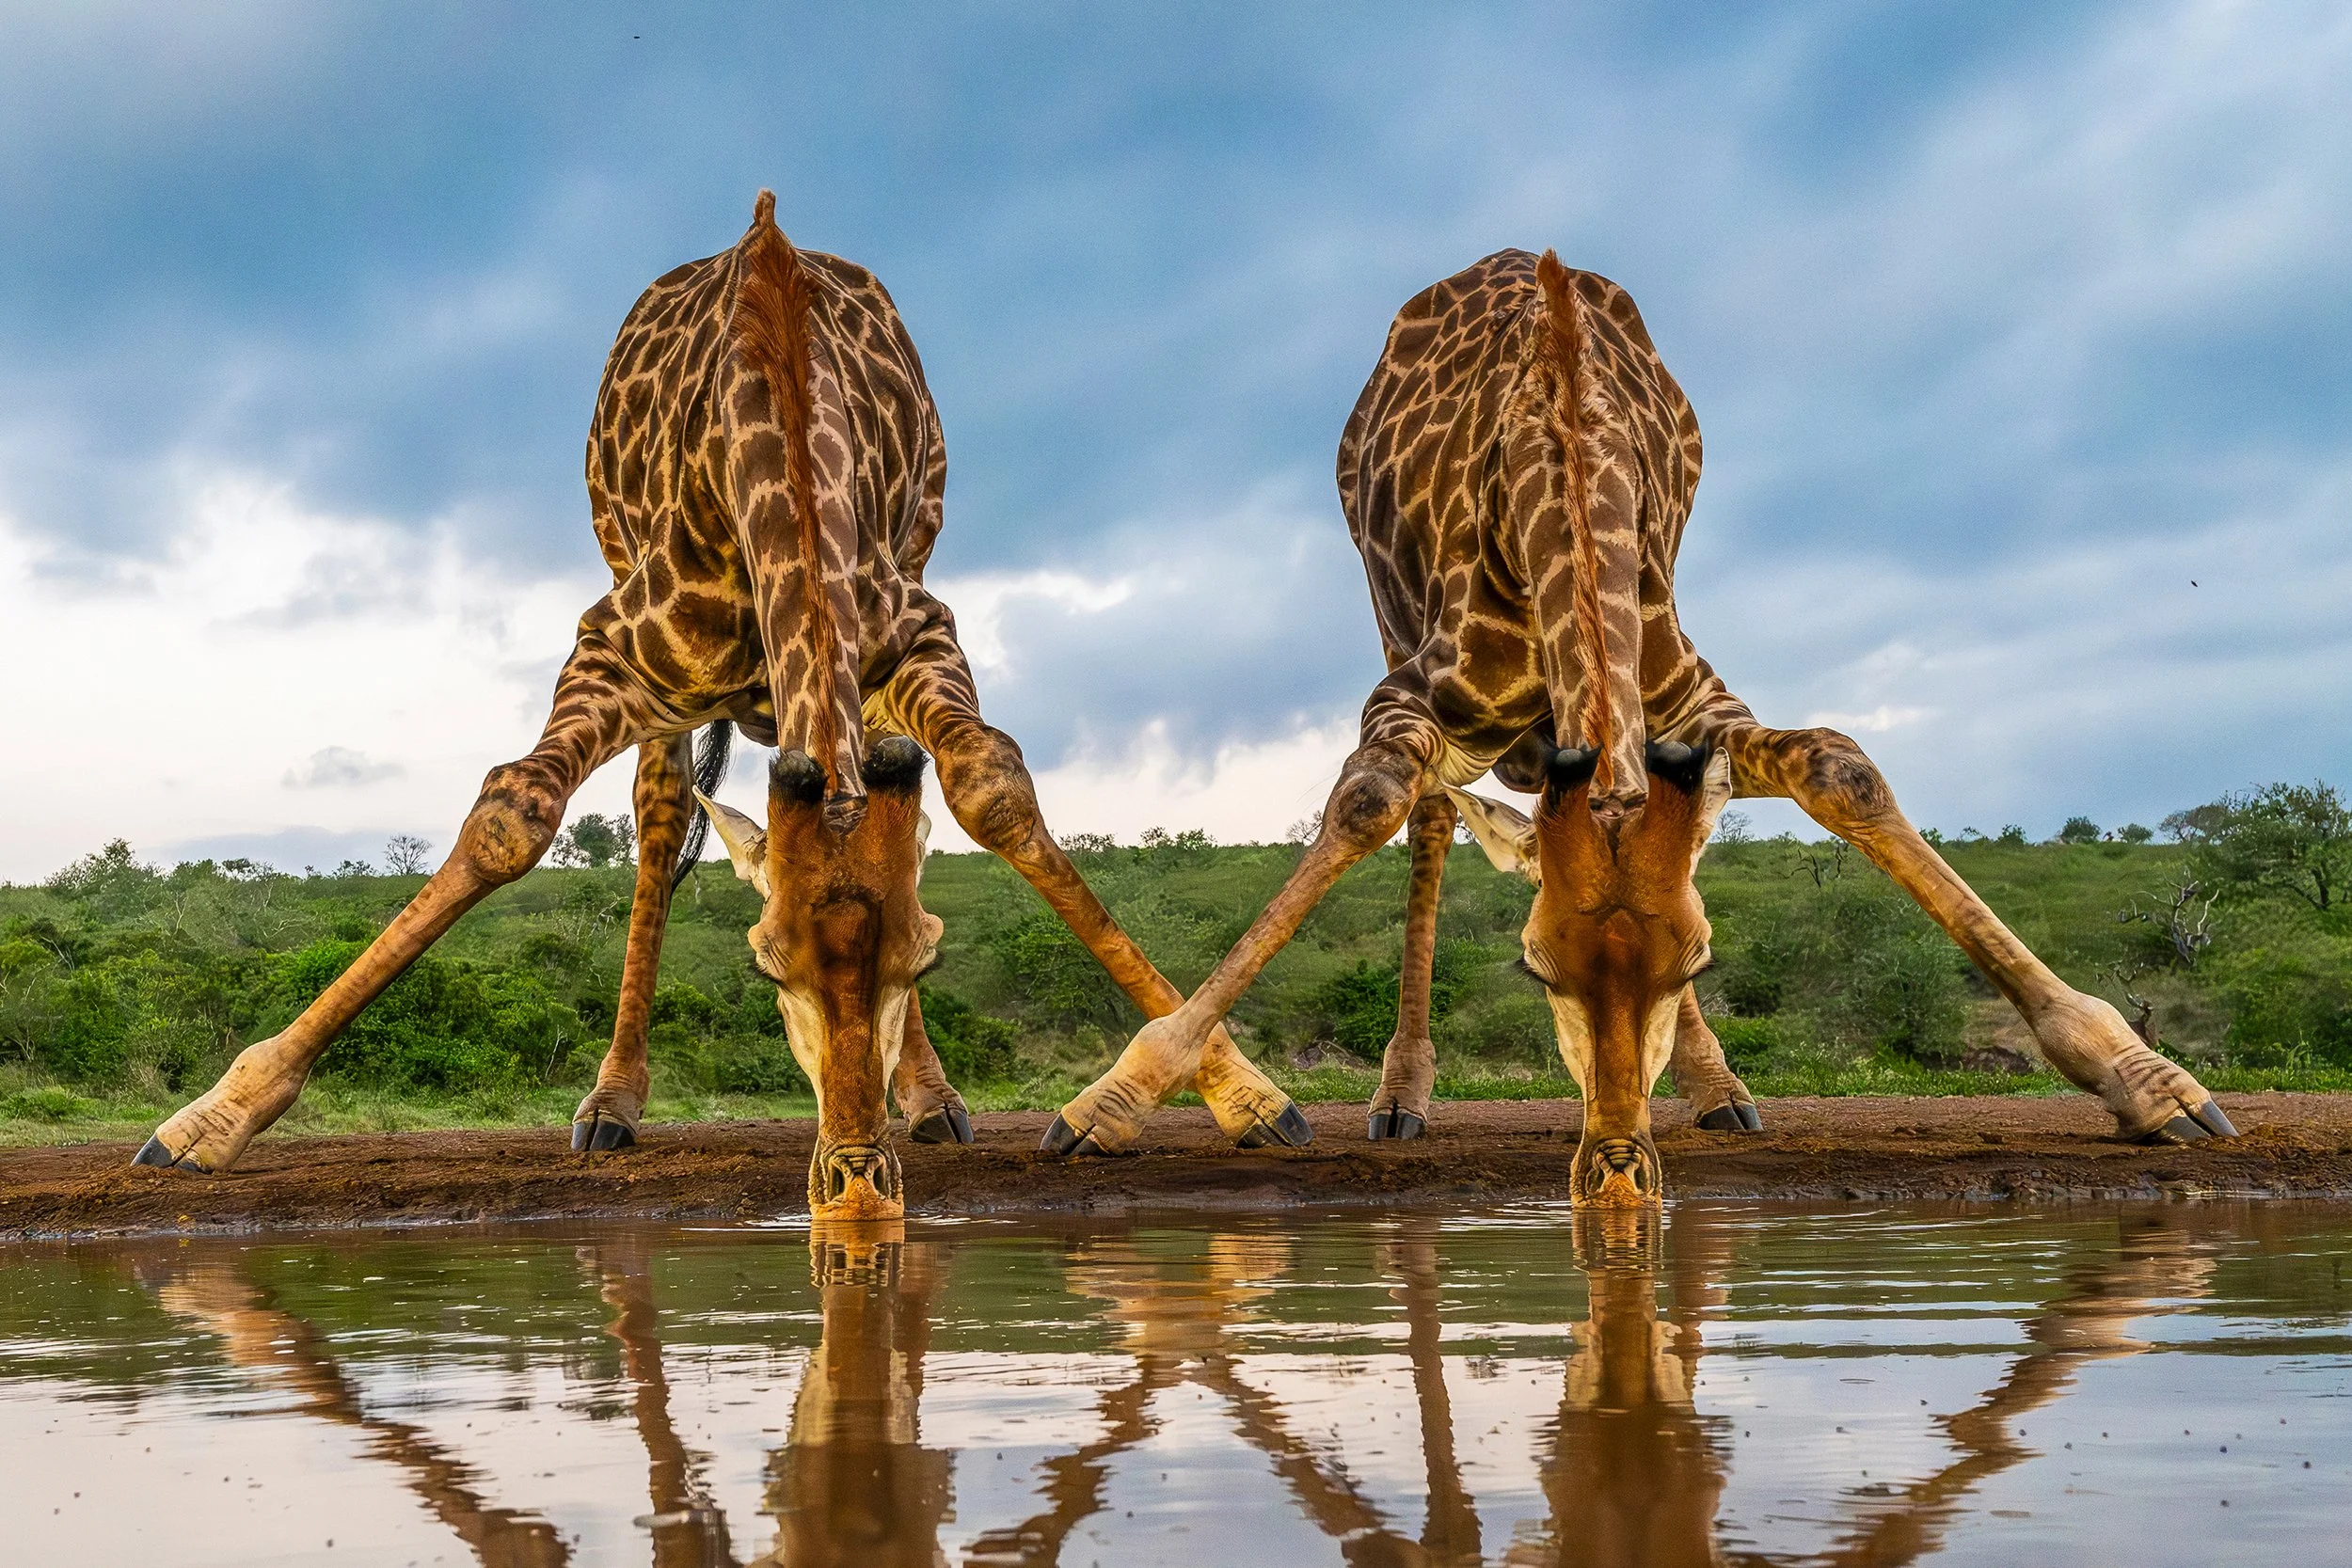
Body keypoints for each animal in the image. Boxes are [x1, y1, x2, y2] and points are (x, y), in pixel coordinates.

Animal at [132, 191, 1308, 1215]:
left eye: (926, 957)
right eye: (763, 962)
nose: (855, 1178)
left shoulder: (920, 631)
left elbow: (992, 790)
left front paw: (1238, 1091)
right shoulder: (613, 646)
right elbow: (510, 817)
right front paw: (211, 1117)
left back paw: (932, 1097)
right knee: (655, 824)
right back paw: (612, 1100)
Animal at [1044, 247, 2236, 1199]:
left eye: (1698, 960)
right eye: (1533, 968)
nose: (1616, 1168)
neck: (1563, 437)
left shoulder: (1698, 696)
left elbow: (1839, 768)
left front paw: (2147, 1080)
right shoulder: (1415, 693)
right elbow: (1370, 799)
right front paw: (1118, 1096)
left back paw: (1719, 1088)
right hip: (1391, 626)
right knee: (1428, 813)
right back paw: (1402, 1093)